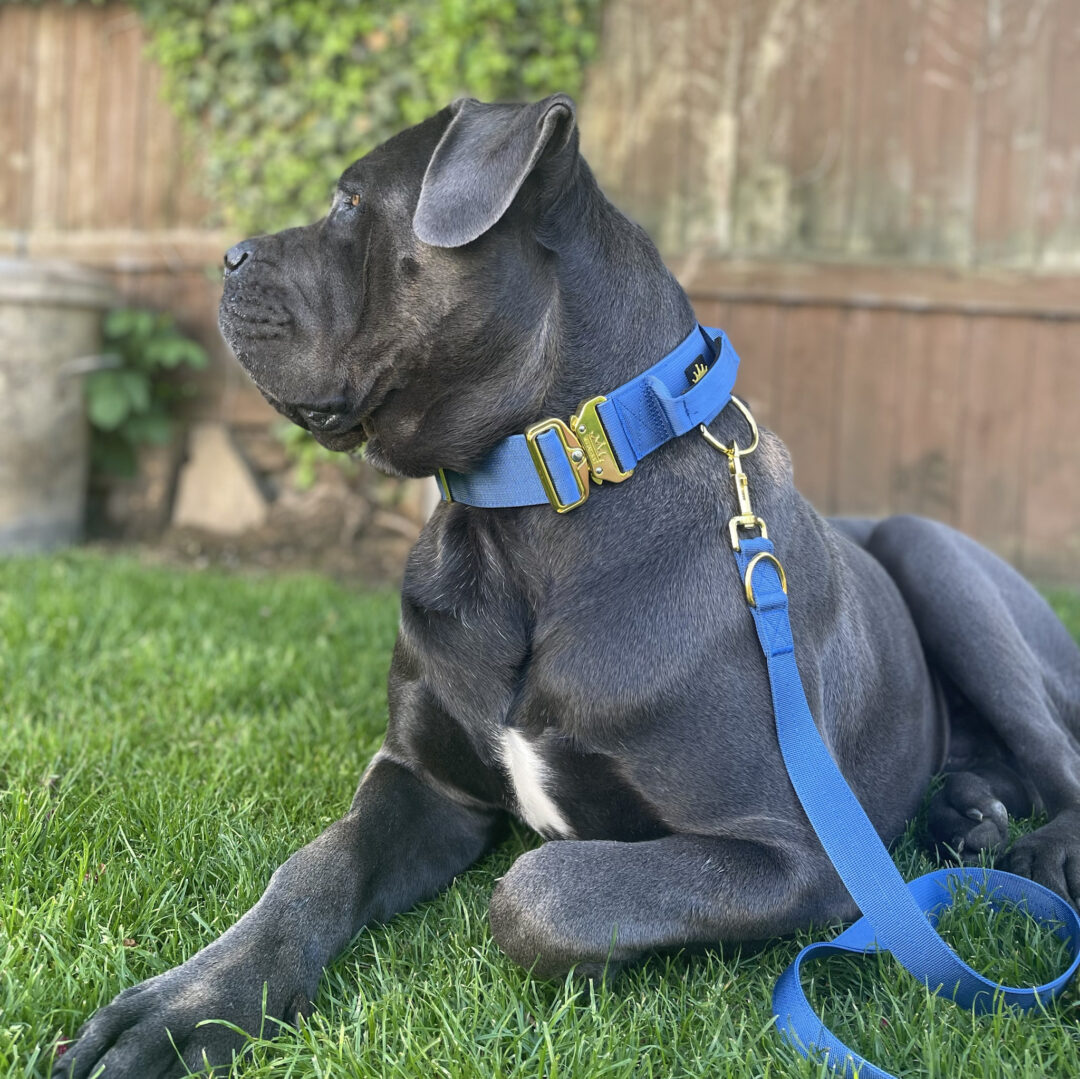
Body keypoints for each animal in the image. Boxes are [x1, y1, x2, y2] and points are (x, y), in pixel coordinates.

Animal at [54, 95, 1080, 1079]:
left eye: (350, 202)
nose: (225, 256)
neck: (526, 517)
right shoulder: (423, 778)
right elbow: (315, 863)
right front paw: (185, 1008)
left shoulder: (797, 851)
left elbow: (539, 891)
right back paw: (964, 815)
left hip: (936, 556)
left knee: (1059, 756)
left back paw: (1033, 846)